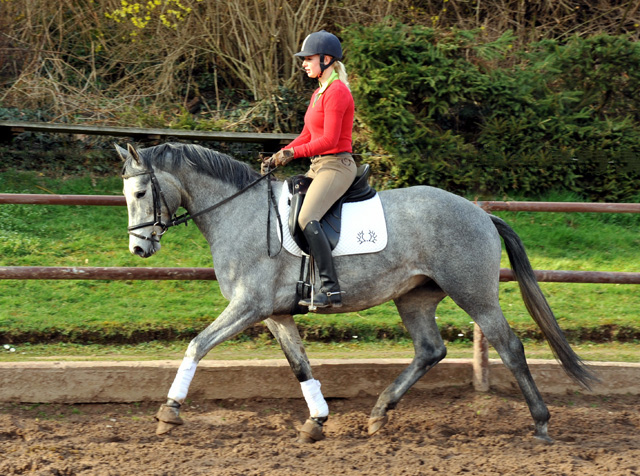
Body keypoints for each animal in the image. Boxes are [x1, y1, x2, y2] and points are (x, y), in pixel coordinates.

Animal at [116, 140, 600, 442]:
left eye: (139, 192)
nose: (139, 248)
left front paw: (169, 413)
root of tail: (481, 213)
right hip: (414, 296)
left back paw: (541, 423)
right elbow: (300, 366)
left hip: (473, 294)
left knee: (509, 346)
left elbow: (197, 345)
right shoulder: (277, 314)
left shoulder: (249, 306)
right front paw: (316, 421)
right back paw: (379, 413)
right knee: (430, 350)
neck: (240, 214)